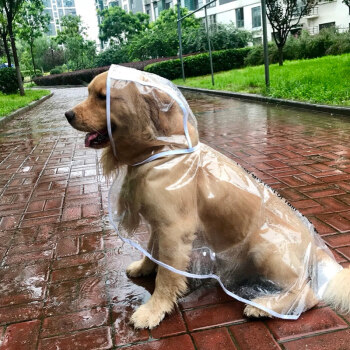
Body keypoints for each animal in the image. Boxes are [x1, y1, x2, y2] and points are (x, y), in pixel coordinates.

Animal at [66, 70, 350, 328]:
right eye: (89, 93)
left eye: (103, 97)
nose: (67, 114)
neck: (162, 151)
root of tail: (315, 247)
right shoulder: (161, 223)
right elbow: (151, 248)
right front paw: (144, 267)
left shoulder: (174, 229)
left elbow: (166, 276)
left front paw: (153, 310)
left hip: (263, 248)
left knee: (308, 294)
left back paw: (263, 306)